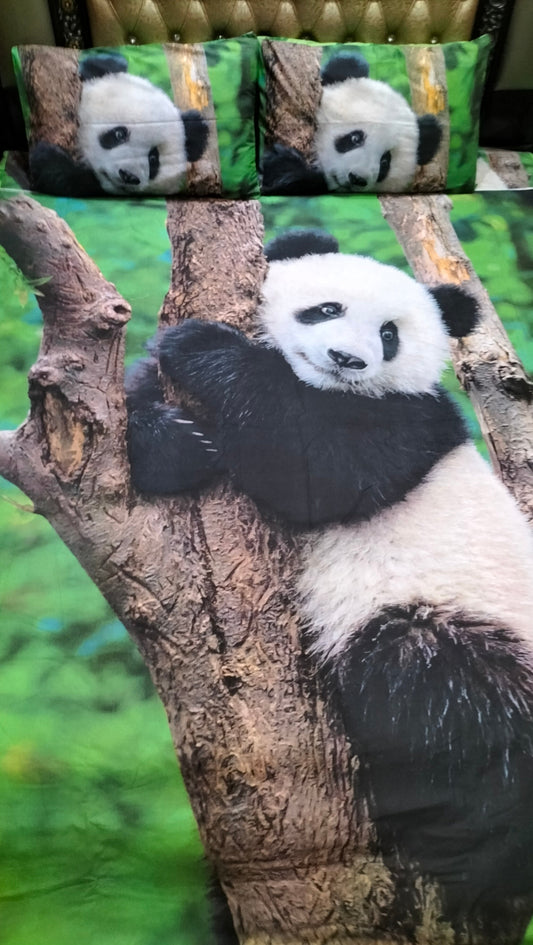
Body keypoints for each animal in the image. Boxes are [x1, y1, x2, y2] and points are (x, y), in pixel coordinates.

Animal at [126, 229, 533, 939]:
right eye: (325, 309)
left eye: (391, 334)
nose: (346, 359)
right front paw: (174, 441)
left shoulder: (409, 425)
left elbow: (317, 463)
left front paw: (205, 349)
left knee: (434, 678)